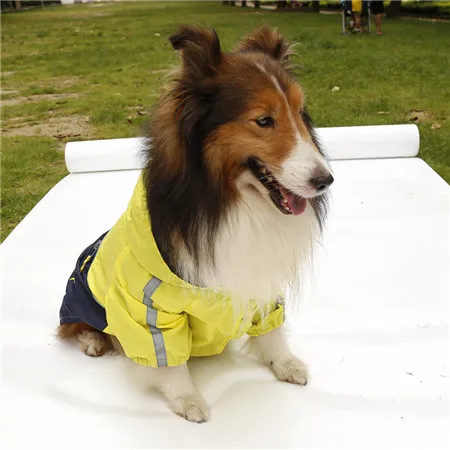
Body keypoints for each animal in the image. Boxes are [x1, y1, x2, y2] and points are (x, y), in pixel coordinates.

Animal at [57, 25, 333, 423]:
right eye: (264, 120)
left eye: (299, 112)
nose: (326, 180)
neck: (230, 203)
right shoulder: (150, 307)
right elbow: (167, 360)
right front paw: (188, 400)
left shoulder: (260, 279)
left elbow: (270, 332)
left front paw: (285, 364)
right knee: (74, 325)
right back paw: (95, 339)